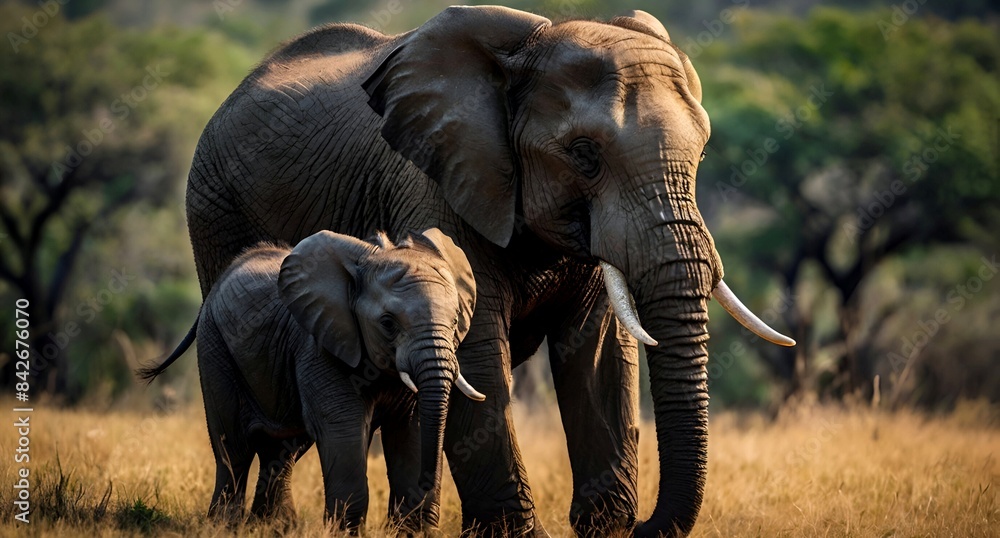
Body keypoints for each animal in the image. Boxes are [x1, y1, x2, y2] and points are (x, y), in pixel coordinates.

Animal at [181, 228, 482, 531]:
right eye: (388, 323)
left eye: (455, 321)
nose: (426, 482)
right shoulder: (320, 345)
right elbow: (342, 426)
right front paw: (345, 530)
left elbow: (412, 427)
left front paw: (415, 530)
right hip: (214, 345)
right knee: (233, 448)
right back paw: (223, 526)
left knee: (282, 450)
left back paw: (274, 526)